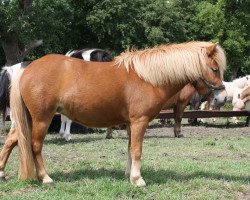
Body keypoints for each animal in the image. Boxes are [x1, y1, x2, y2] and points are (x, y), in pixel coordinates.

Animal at [0, 41, 227, 187]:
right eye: (214, 69)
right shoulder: (140, 121)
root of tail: (28, 69)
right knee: (35, 146)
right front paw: (137, 179)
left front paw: (129, 175)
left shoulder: (130, 123)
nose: (222, 97)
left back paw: (2, 172)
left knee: (12, 140)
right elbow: (137, 150)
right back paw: (45, 178)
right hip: (41, 118)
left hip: (27, 119)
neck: (148, 78)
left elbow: (129, 149)